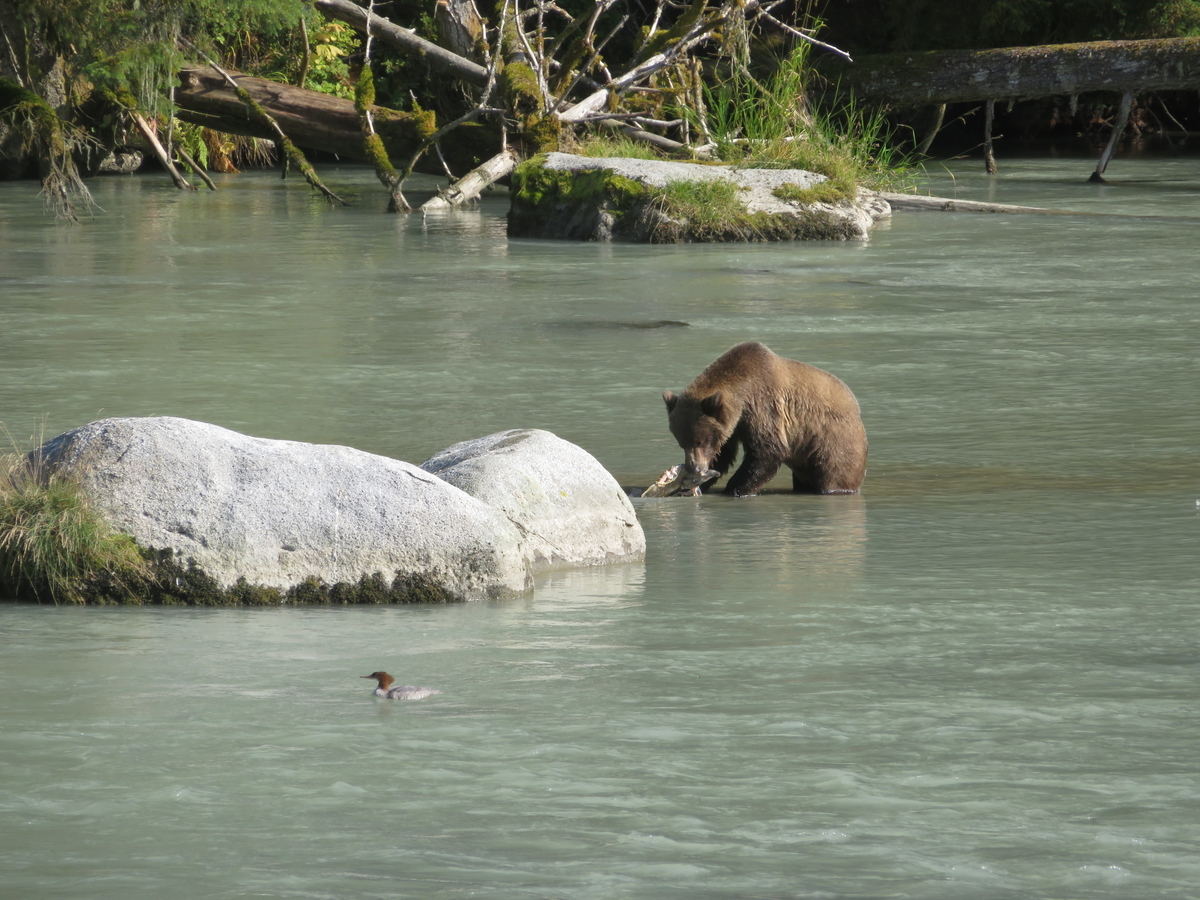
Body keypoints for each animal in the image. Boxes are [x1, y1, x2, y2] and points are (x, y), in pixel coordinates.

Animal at [667, 343, 864, 501]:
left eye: (699, 441)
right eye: (681, 442)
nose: (693, 467)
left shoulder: (763, 404)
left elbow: (768, 449)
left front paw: (733, 489)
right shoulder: (733, 425)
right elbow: (724, 454)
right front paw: (691, 487)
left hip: (834, 441)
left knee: (834, 473)